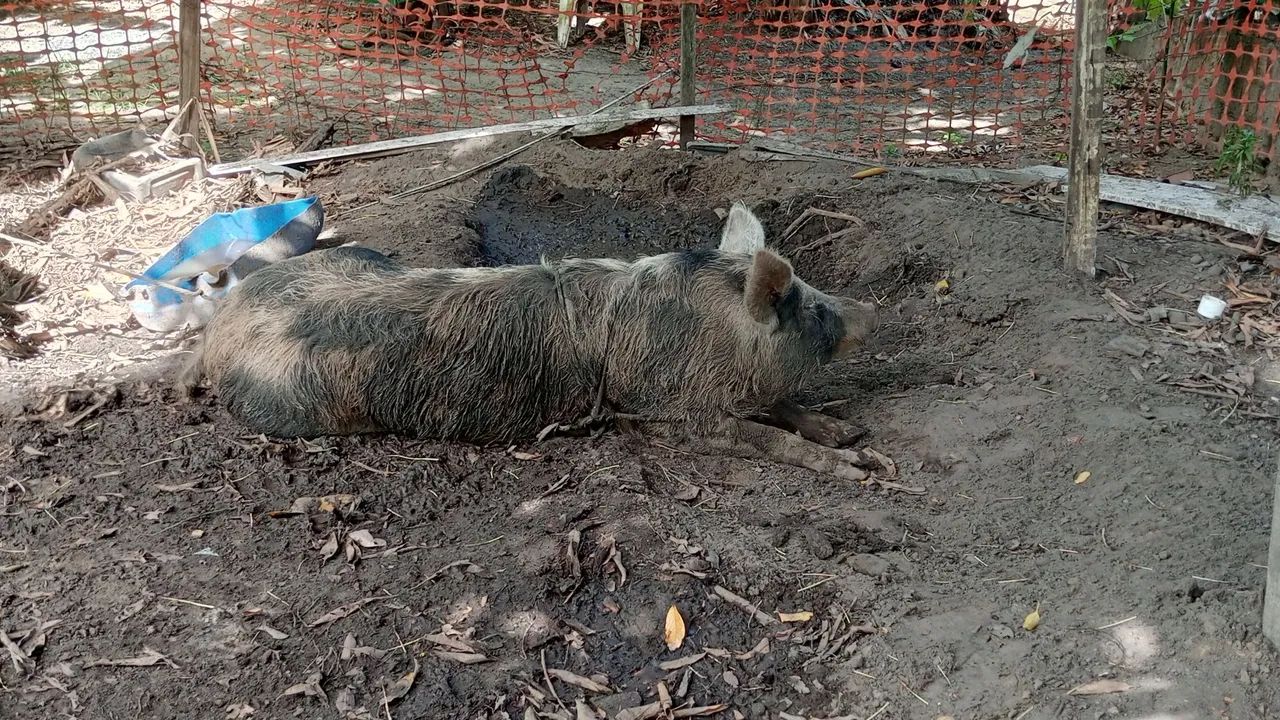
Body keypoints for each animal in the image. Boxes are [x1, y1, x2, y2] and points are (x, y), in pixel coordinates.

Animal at [182, 201, 878, 480]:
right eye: (812, 310)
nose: (871, 311)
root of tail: (219, 328)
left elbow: (783, 406)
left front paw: (853, 437)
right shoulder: (667, 414)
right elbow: (762, 438)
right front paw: (860, 467)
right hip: (287, 406)